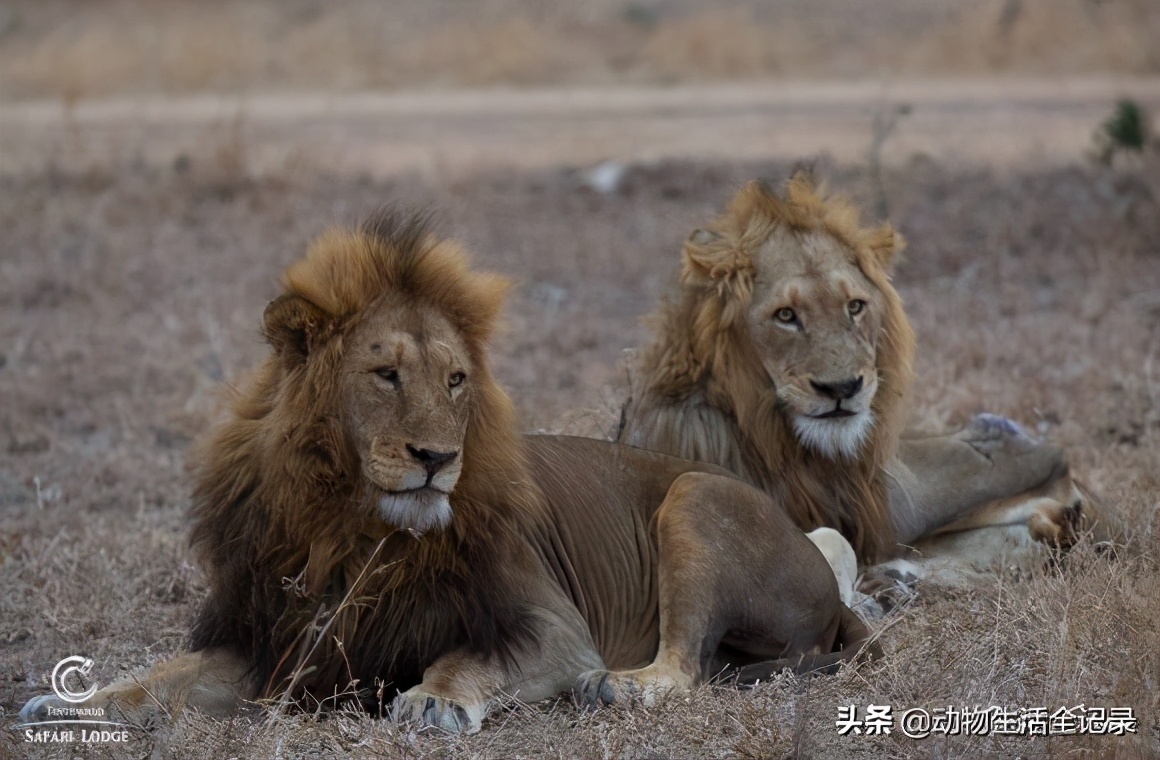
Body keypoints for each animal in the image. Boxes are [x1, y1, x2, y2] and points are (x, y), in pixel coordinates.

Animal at [22, 211, 876, 733]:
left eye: (457, 380)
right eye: (386, 375)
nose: (437, 460)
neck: (349, 526)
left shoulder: (555, 629)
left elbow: (471, 658)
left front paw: (433, 700)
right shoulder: (272, 639)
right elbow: (159, 675)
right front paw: (76, 702)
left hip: (695, 495)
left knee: (685, 664)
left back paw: (624, 685)